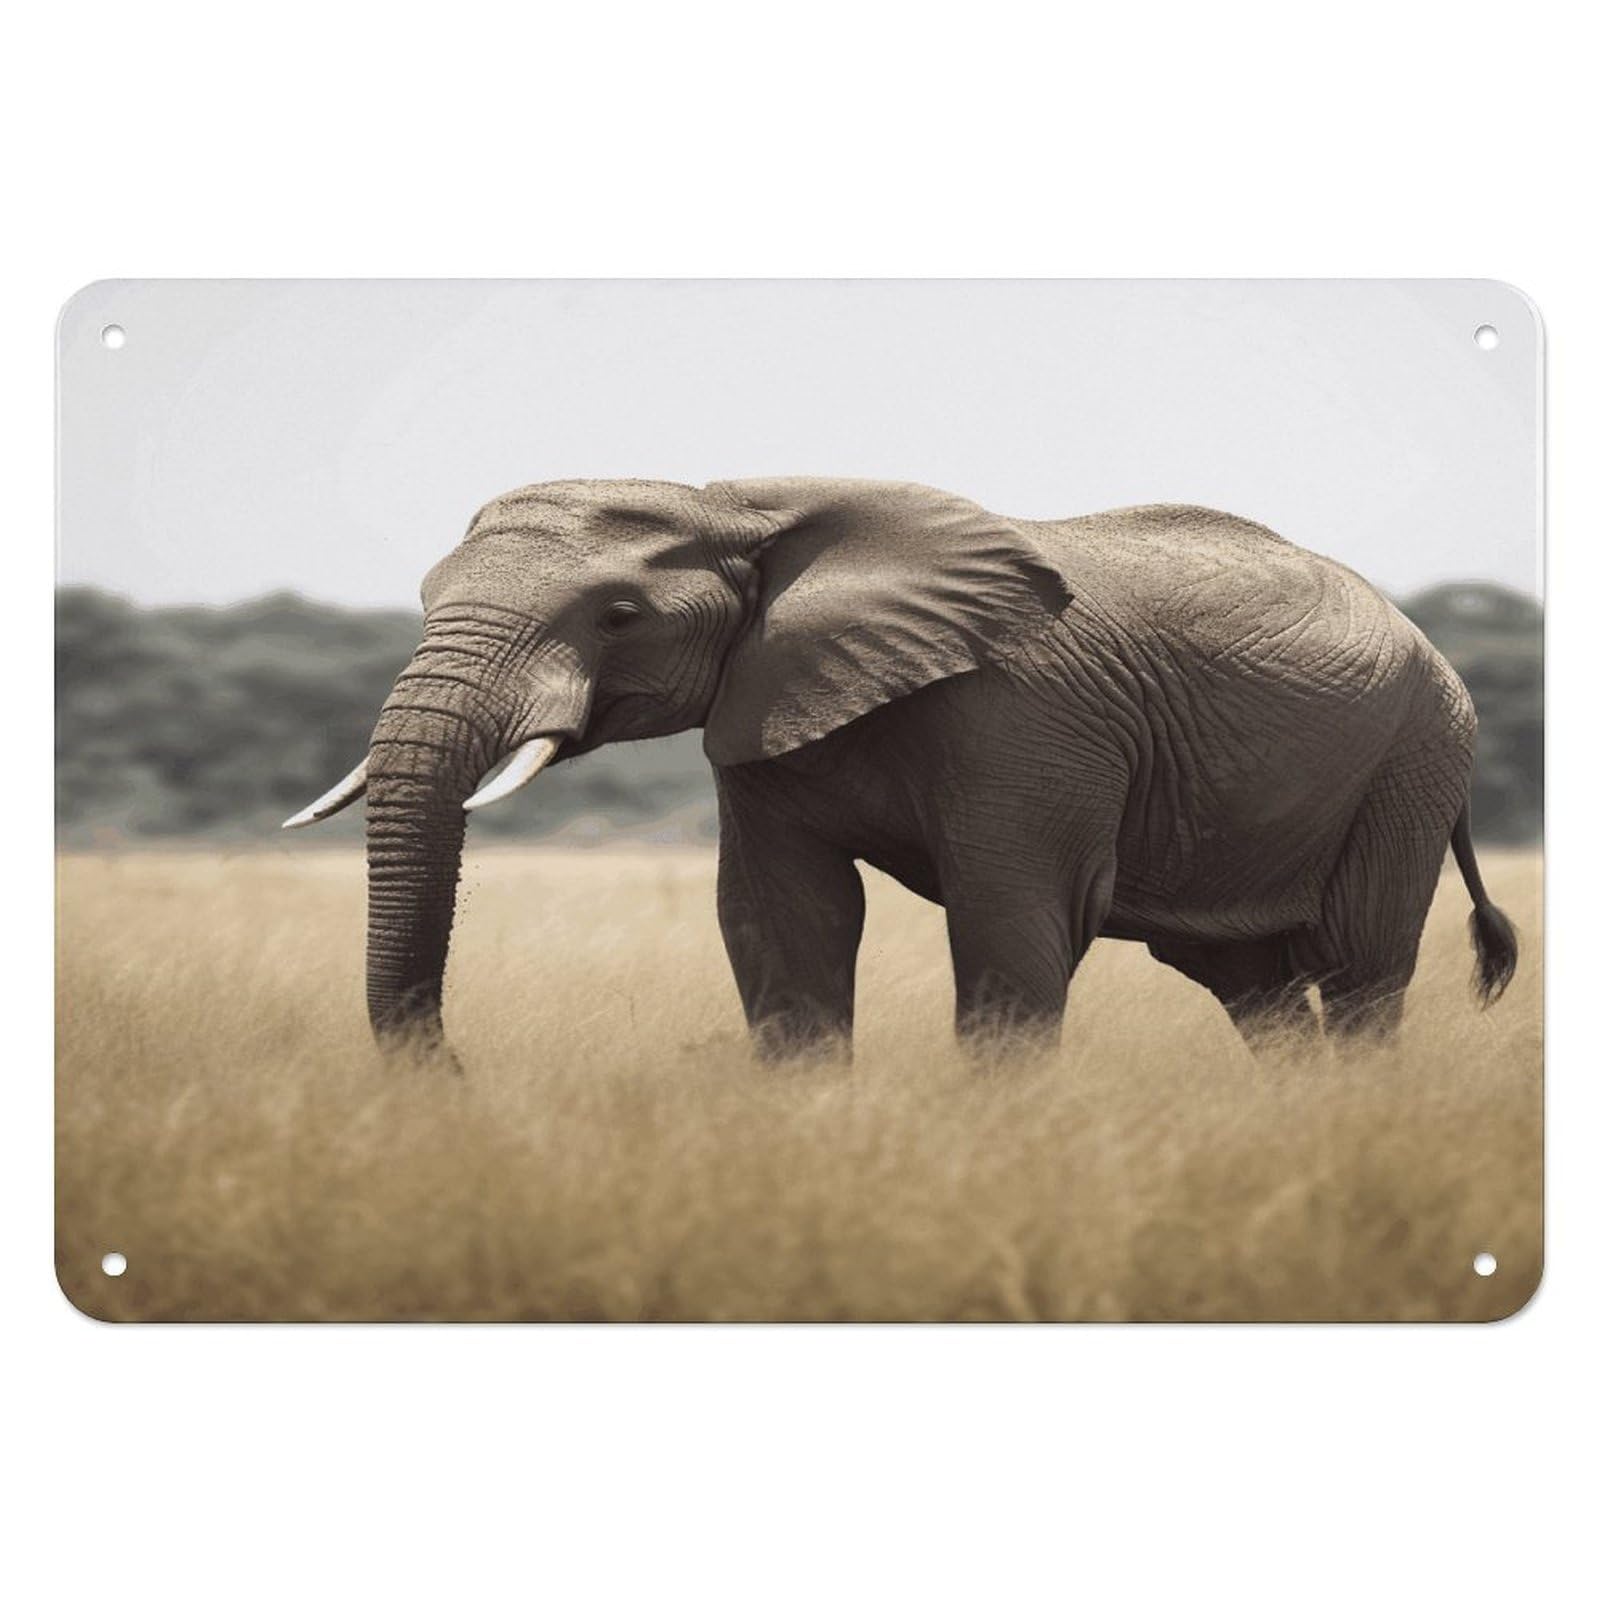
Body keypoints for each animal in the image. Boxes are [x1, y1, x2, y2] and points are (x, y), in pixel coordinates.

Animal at [285, 477, 1516, 1065]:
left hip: (1412, 760)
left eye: (619, 614)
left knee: (1358, 970)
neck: (738, 506)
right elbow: (785, 926)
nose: (454, 1078)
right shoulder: (760, 708)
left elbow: (1013, 927)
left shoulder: (1026, 717)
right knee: (1251, 987)